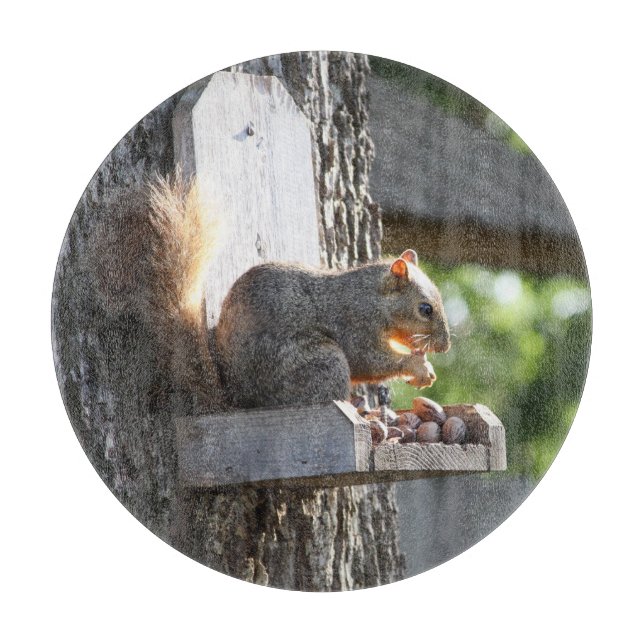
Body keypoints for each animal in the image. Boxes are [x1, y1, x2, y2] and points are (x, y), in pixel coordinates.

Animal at [91, 173, 450, 411]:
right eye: (425, 309)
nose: (445, 347)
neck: (373, 299)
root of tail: (240, 400)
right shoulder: (354, 323)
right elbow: (370, 360)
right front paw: (417, 365)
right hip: (320, 362)